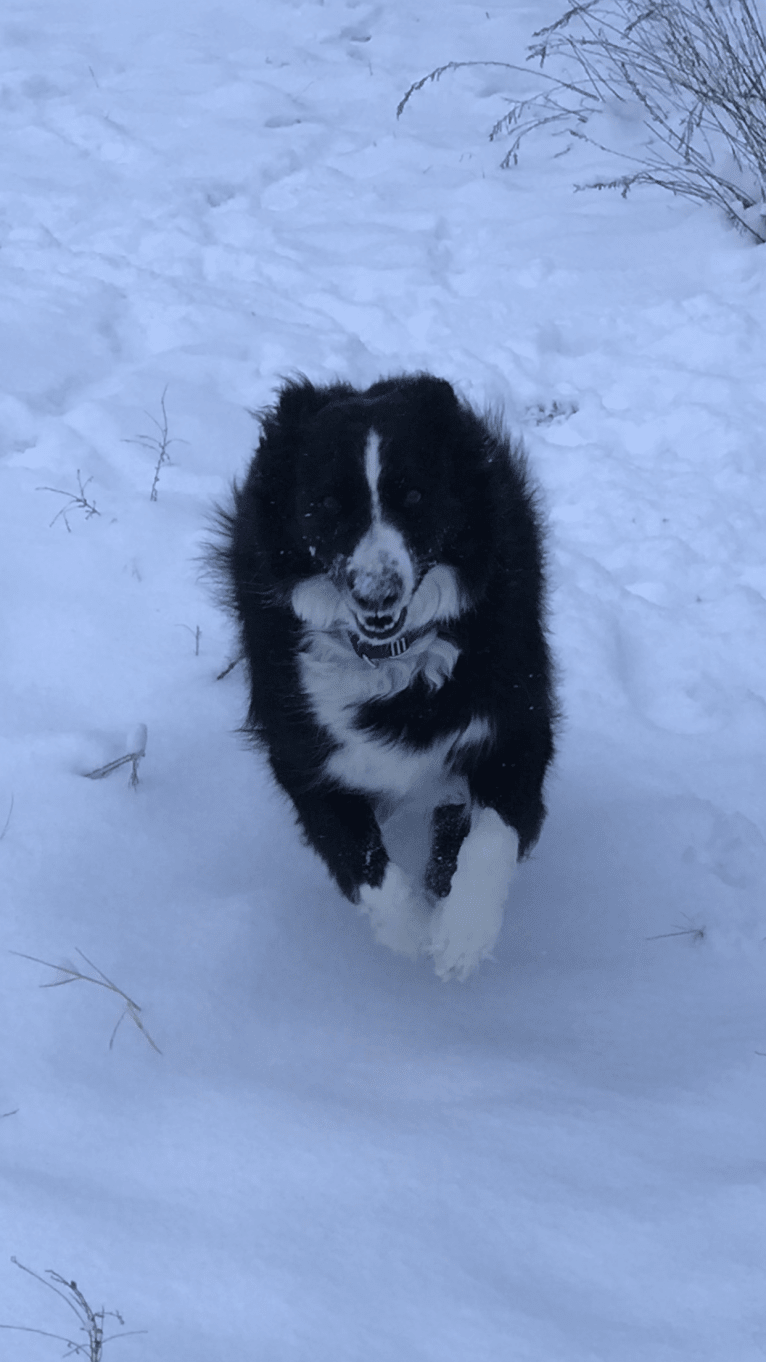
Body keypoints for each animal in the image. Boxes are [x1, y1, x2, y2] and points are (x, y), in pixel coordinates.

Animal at [215, 373, 553, 980]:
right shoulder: (303, 757)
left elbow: (492, 834)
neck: (390, 659)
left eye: (415, 497)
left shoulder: (520, 721)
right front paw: (411, 931)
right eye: (326, 504)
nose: (378, 594)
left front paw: (461, 935)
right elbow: (362, 860)